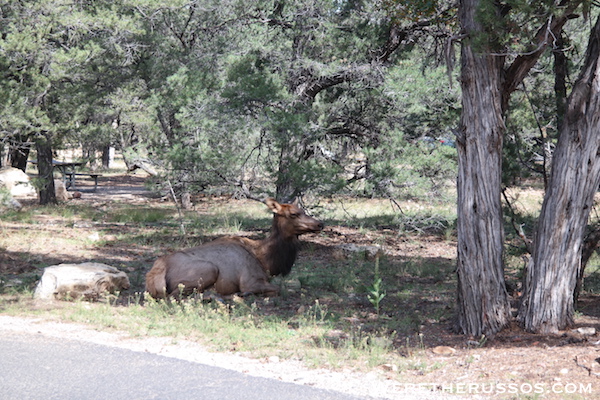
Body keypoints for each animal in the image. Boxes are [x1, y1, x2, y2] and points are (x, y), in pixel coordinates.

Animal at [145, 198, 324, 298]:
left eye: (302, 210)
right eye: (293, 214)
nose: (320, 223)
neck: (266, 260)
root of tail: (156, 271)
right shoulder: (251, 281)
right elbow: (280, 288)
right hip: (208, 269)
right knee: (174, 296)